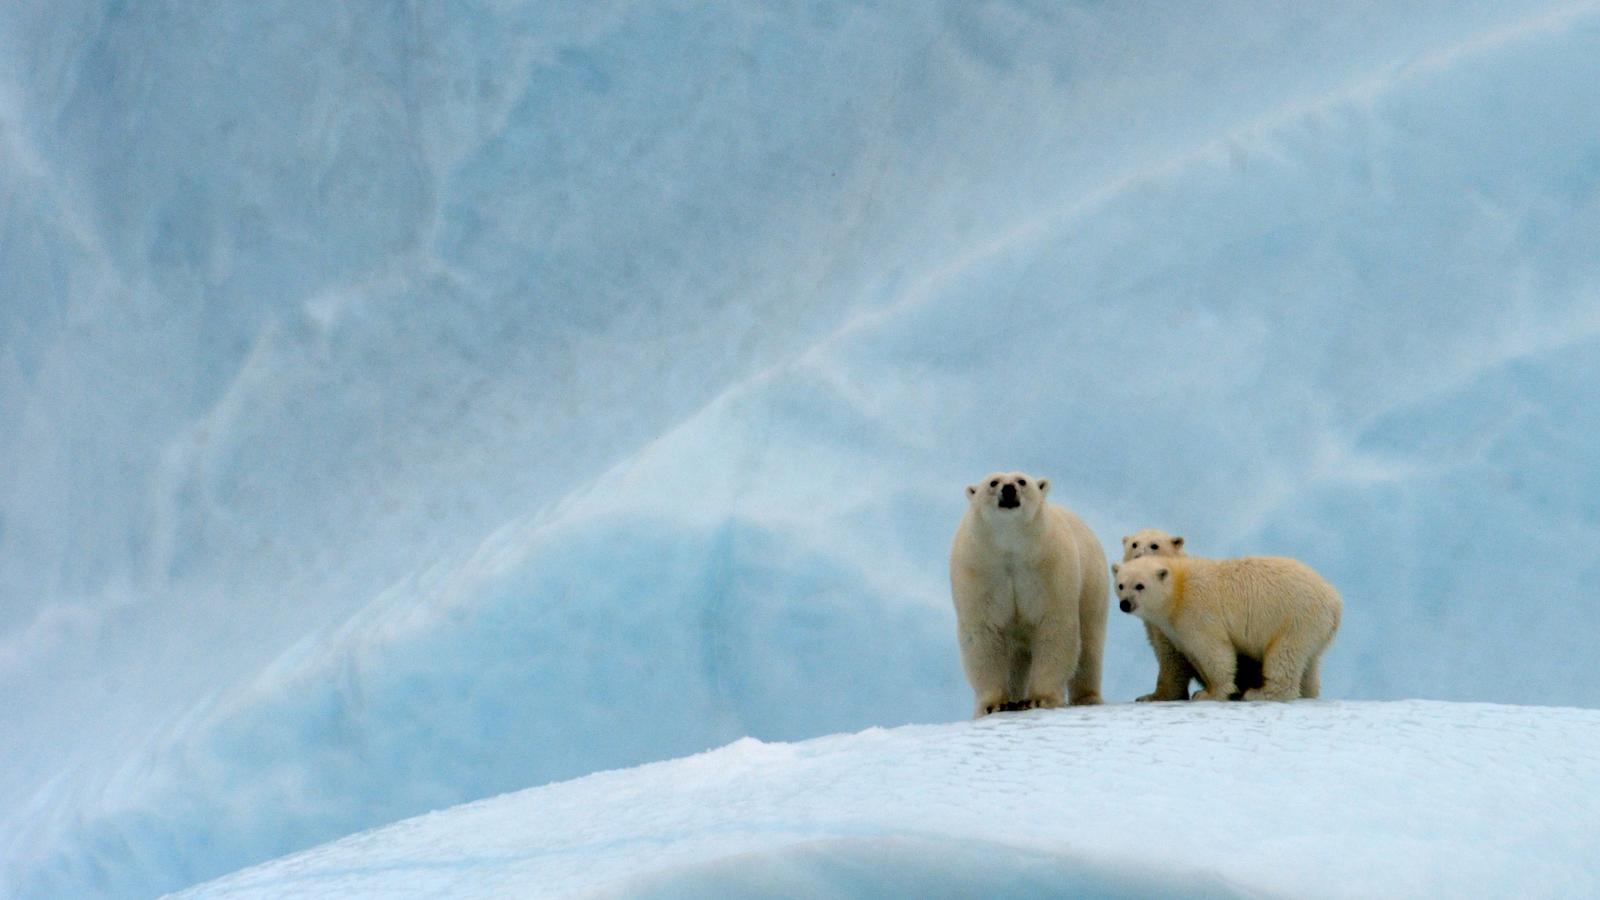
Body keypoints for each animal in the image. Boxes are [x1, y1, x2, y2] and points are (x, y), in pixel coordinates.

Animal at [950, 471, 1109, 716]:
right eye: (993, 482)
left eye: (1022, 481)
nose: (1008, 489)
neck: (1011, 548)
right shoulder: (979, 569)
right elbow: (984, 631)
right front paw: (994, 704)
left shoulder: (1049, 566)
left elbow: (1053, 626)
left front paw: (1038, 699)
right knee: (1016, 658)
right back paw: (1015, 698)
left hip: (1092, 582)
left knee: (1090, 644)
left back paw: (1087, 698)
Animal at [1113, 554, 1340, 701]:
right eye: (1121, 585)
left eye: (1140, 585)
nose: (1125, 604)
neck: (1179, 588)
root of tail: (1334, 601)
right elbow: (1193, 654)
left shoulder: (1197, 611)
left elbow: (1214, 650)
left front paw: (1208, 693)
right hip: (1314, 627)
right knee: (1309, 662)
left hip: (1294, 618)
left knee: (1284, 654)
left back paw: (1260, 693)